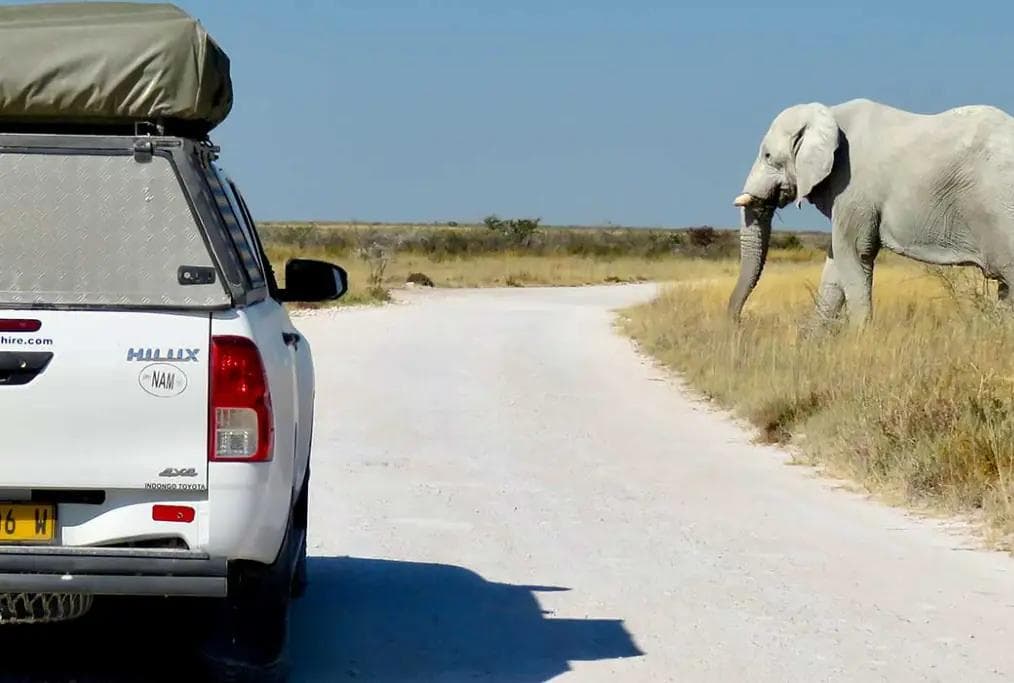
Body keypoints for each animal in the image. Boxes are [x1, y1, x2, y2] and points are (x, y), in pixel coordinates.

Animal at [728, 98, 1014, 327]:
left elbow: (854, 254)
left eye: (767, 156)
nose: (738, 323)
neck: (829, 113)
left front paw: (859, 338)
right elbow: (835, 265)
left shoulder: (854, 188)